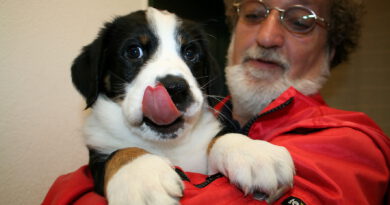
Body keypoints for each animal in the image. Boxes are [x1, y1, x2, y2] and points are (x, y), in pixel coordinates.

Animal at [71, 7, 294, 204]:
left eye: (190, 53)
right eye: (134, 51)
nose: (174, 88)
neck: (168, 146)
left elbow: (224, 136)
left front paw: (252, 152)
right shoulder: (98, 152)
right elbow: (120, 152)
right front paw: (141, 175)